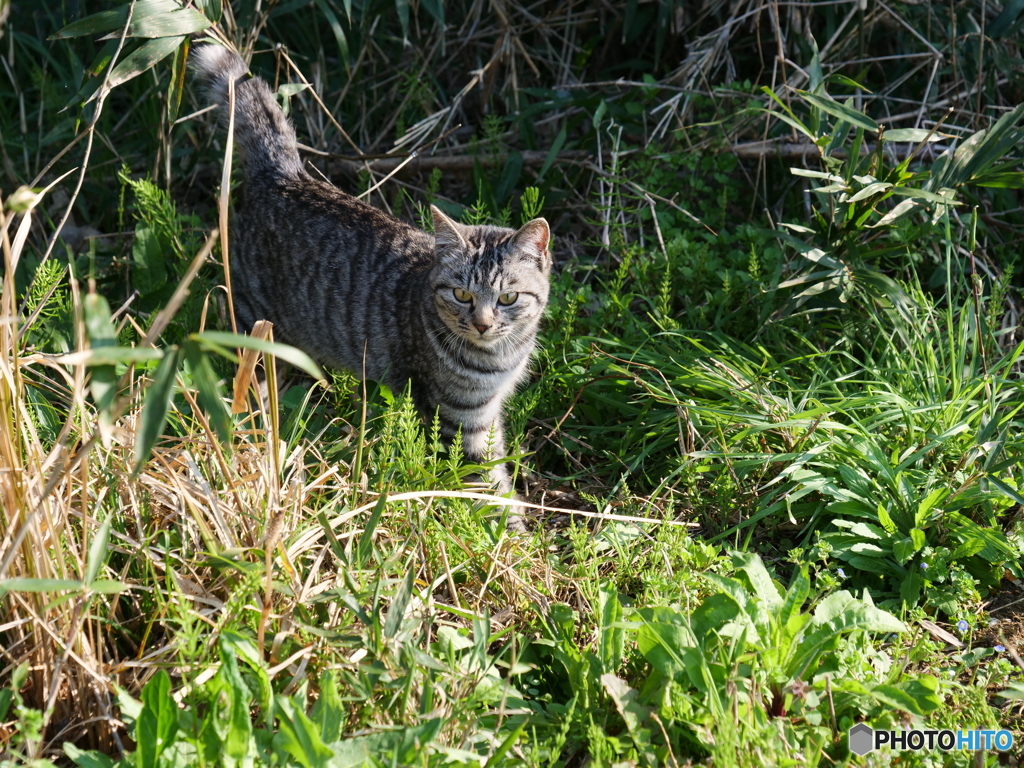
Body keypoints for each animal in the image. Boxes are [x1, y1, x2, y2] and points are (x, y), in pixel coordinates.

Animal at [193, 41, 552, 512]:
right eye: (461, 294)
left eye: (508, 299)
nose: (482, 324)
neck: (499, 359)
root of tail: (286, 175)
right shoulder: (458, 419)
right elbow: (488, 489)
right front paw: (511, 529)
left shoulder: (488, 415)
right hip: (254, 320)